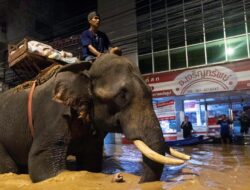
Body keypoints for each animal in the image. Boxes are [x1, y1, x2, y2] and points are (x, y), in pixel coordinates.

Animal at [0, 53, 189, 183]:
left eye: (151, 92)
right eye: (122, 95)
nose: (139, 181)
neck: (87, 68)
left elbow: (90, 163)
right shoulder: (53, 114)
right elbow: (42, 167)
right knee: (9, 167)